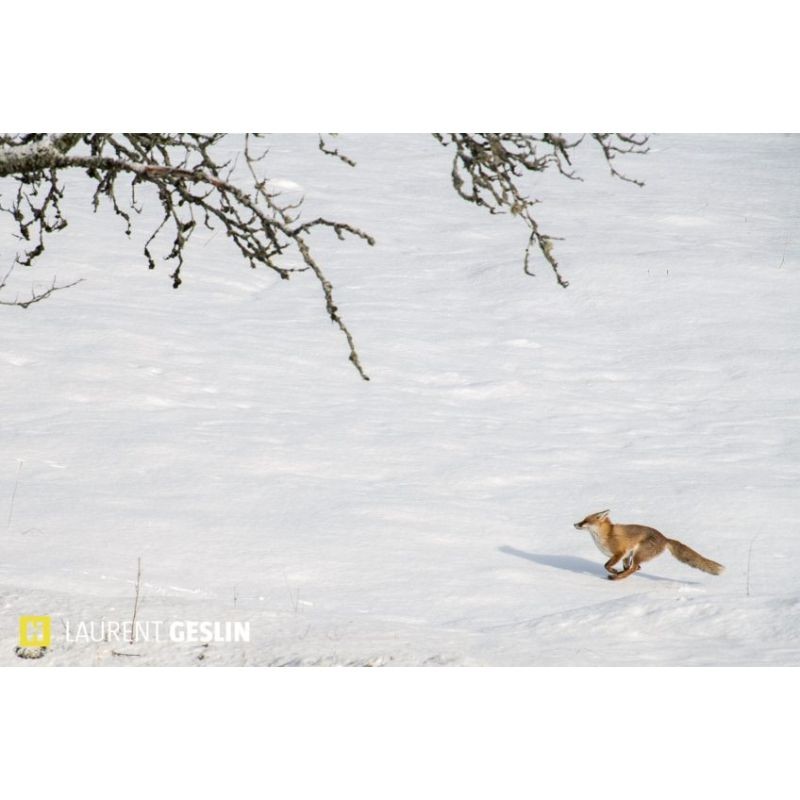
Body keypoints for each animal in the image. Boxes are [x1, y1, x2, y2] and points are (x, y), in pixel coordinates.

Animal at [573, 509, 724, 580]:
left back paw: (616, 577)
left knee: (635, 568)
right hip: (634, 555)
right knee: (635, 568)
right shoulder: (625, 555)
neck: (606, 535)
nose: (575, 524)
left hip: (638, 554)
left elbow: (606, 565)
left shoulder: (620, 552)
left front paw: (614, 572)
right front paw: (617, 572)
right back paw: (620, 575)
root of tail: (665, 538)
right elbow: (619, 567)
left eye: (585, 521)